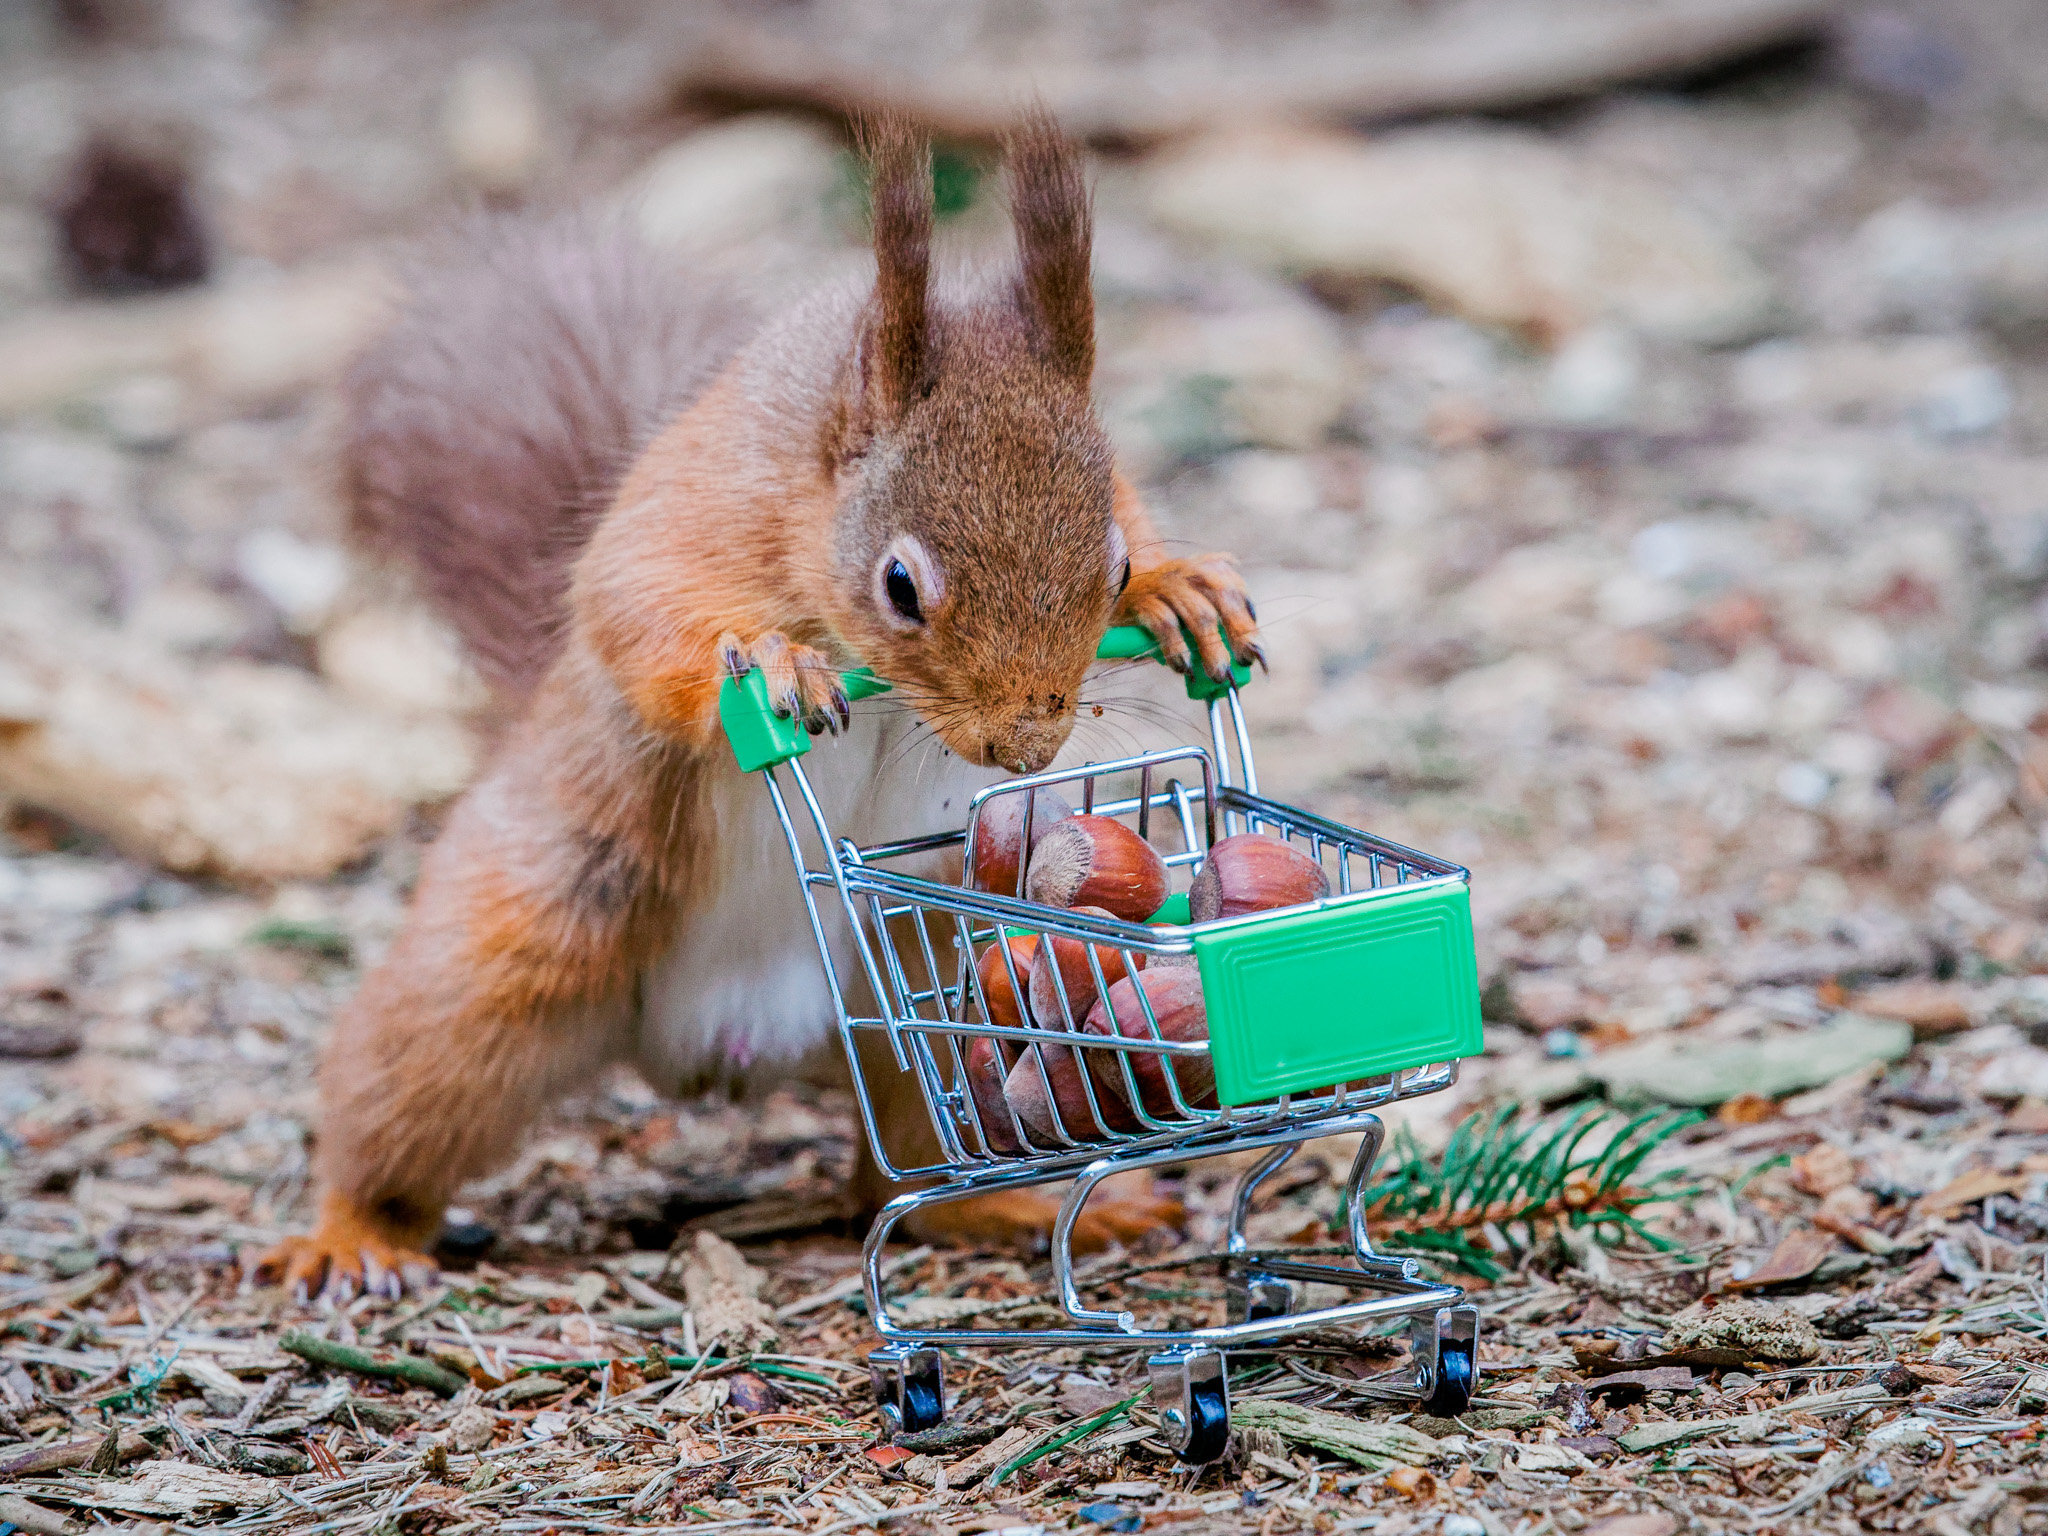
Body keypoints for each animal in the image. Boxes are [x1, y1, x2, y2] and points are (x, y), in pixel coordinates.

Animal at [258, 115, 1260, 1300]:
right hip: (512, 959)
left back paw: (1014, 1204)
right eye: (900, 586)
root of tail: (729, 1044)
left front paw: (1184, 590)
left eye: (1111, 568)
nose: (1024, 746)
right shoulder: (695, 510)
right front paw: (774, 666)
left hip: (943, 987)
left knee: (905, 1164)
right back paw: (352, 1232)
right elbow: (638, 607)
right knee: (397, 1098)